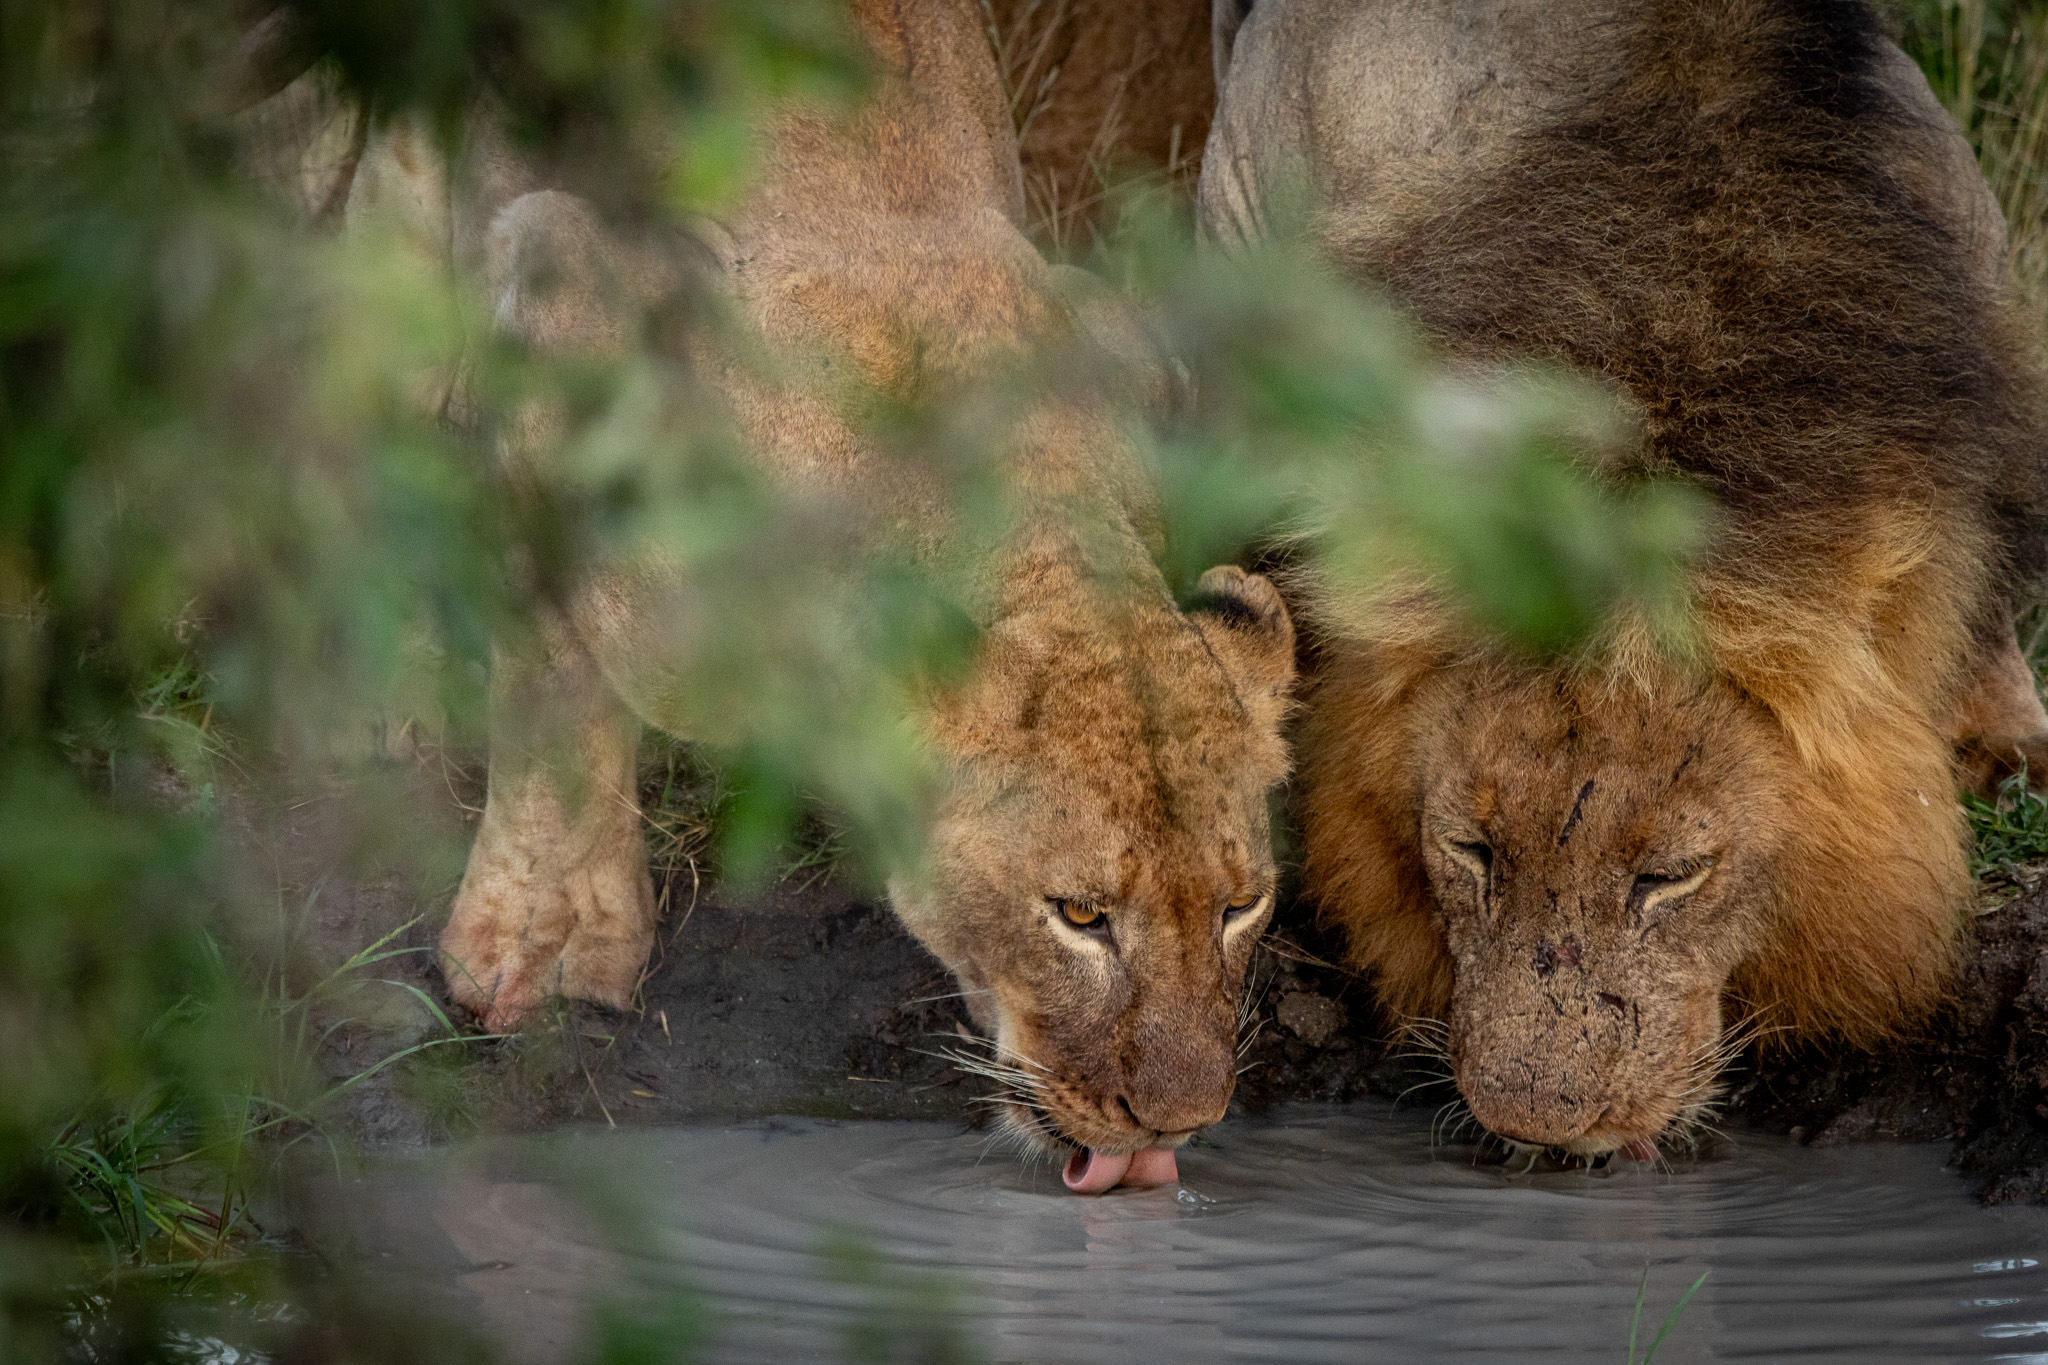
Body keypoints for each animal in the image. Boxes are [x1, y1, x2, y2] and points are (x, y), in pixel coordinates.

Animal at [297, 0, 1299, 1193]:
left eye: (1240, 905)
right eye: (1080, 916)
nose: (1178, 1125)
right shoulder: (562, 287)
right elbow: (553, 685)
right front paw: (538, 946)